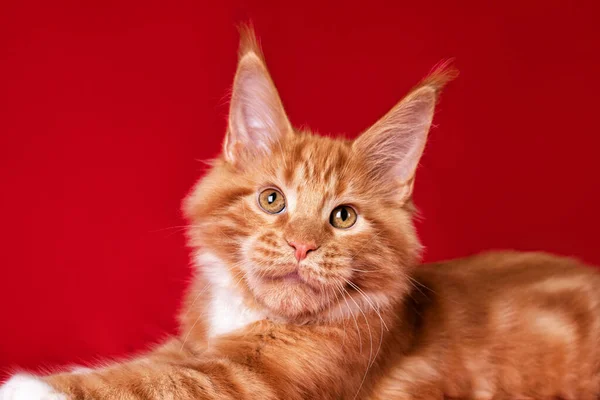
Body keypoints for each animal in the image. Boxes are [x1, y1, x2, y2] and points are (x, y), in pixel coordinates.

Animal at [1, 26, 600, 398]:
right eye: (273, 200)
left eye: (343, 217)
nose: (301, 245)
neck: (253, 311)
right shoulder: (194, 344)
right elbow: (152, 363)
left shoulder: (254, 381)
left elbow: (156, 381)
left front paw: (30, 385)